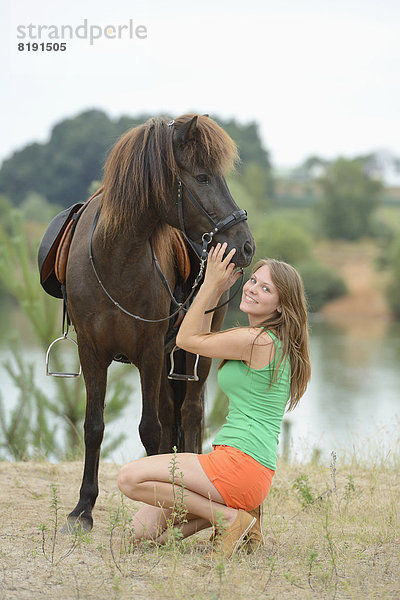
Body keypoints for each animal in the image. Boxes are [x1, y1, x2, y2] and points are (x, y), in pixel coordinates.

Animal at [64, 115, 255, 528]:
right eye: (202, 177)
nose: (246, 245)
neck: (115, 258)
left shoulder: (149, 351)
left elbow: (149, 429)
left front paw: (156, 507)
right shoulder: (92, 351)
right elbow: (94, 426)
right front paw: (83, 508)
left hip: (199, 348)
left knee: (190, 411)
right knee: (172, 415)